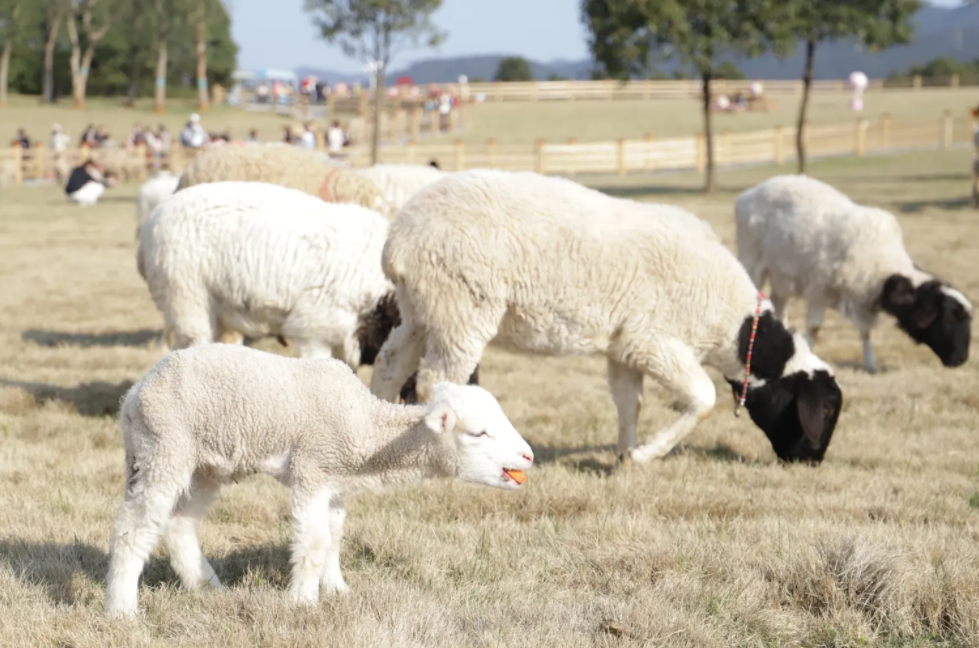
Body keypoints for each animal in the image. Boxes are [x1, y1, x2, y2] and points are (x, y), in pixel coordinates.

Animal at [104, 342, 536, 616]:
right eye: (479, 433)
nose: (529, 456)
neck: (366, 427)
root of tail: (132, 396)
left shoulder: (334, 481)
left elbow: (334, 538)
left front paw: (337, 590)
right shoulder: (312, 467)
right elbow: (313, 542)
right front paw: (302, 603)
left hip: (205, 462)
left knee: (179, 524)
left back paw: (208, 588)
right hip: (164, 446)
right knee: (133, 529)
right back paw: (122, 610)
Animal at [372, 168, 848, 466]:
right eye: (824, 408)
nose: (812, 462)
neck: (732, 325)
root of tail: (399, 239)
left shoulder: (624, 348)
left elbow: (628, 404)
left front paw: (625, 456)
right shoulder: (652, 339)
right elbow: (703, 398)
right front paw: (645, 454)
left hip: (422, 309)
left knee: (388, 366)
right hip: (461, 307)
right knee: (436, 381)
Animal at [736, 175, 972, 372]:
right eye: (948, 318)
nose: (961, 359)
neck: (883, 266)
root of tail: (748, 194)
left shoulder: (863, 299)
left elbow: (865, 332)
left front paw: (870, 364)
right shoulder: (819, 290)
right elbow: (814, 328)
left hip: (782, 276)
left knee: (779, 305)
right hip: (752, 263)